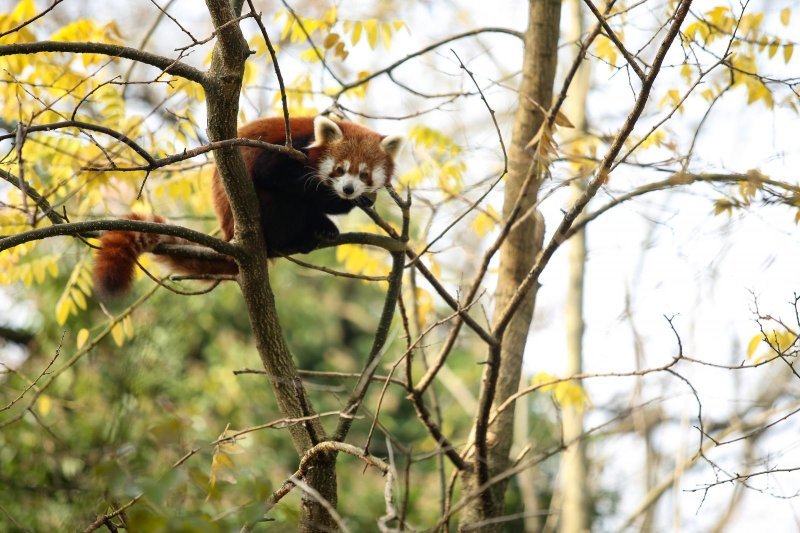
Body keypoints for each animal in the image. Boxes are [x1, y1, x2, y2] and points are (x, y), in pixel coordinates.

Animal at [94, 116, 404, 296]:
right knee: (285, 201)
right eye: (340, 170)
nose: (348, 189)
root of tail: (229, 233)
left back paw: (323, 229)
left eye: (364, 174)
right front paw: (336, 200)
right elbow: (277, 177)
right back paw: (299, 237)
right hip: (261, 209)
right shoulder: (288, 149)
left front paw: (362, 198)